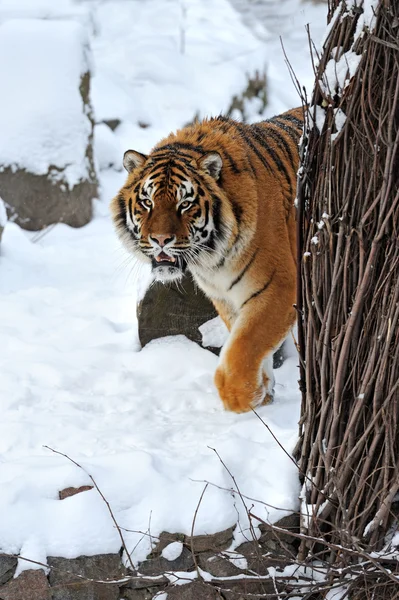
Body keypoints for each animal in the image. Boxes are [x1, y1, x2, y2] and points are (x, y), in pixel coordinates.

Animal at [109, 108, 304, 414]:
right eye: (147, 202)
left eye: (185, 204)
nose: (160, 239)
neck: (213, 259)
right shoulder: (225, 296)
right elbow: (245, 341)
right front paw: (263, 392)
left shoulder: (280, 286)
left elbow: (244, 346)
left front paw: (242, 398)